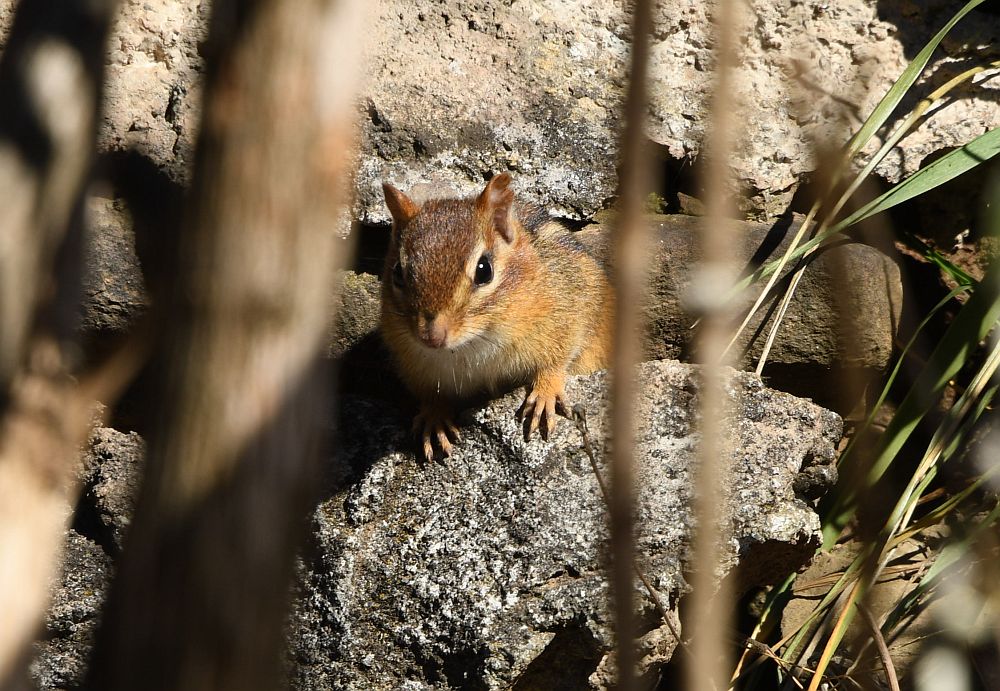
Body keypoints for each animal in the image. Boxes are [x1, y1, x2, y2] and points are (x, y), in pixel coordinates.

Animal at [380, 172, 614, 462]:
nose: (431, 337)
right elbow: (431, 395)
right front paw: (434, 416)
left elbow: (557, 359)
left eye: (484, 270)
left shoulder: (571, 311)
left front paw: (545, 391)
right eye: (397, 273)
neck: (475, 343)